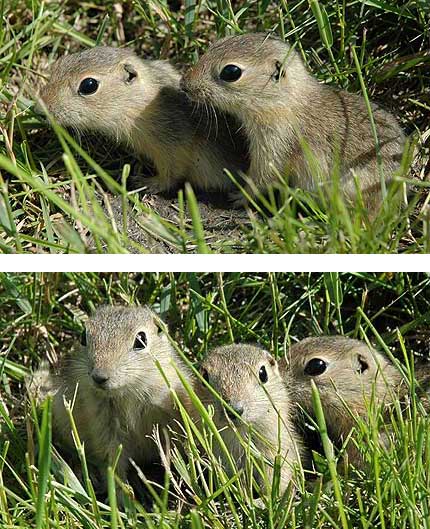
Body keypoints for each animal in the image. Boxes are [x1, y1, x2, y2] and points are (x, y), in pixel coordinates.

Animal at [27, 306, 192, 486]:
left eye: (141, 340)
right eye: (83, 336)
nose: (99, 377)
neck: (127, 392)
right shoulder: (104, 425)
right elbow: (113, 460)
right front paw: (121, 492)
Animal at [37, 47, 249, 194]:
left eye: (89, 85)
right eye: (59, 63)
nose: (39, 109)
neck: (143, 103)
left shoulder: (173, 146)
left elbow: (171, 174)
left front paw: (147, 183)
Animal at [182, 32, 406, 210]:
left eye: (231, 72)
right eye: (217, 43)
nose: (185, 84)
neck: (285, 101)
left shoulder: (273, 147)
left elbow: (262, 179)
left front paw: (239, 197)